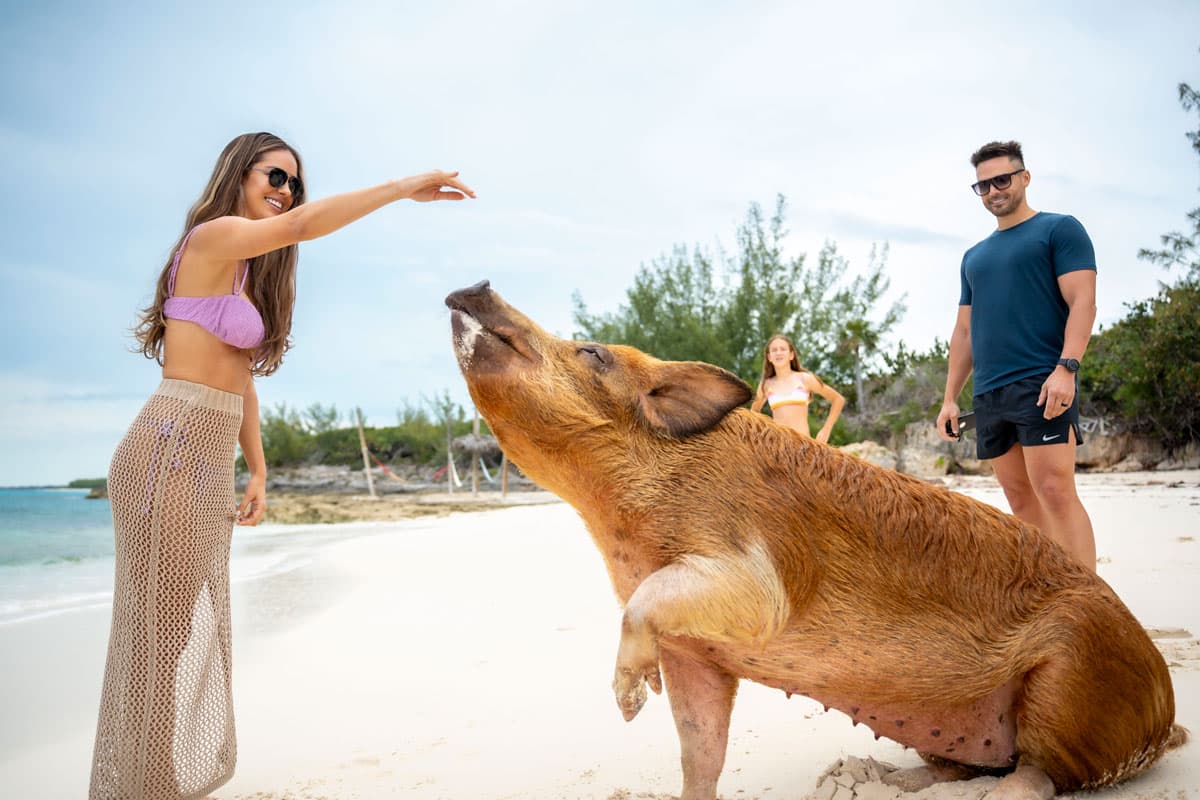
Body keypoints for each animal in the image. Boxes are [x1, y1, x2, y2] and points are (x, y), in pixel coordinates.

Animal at [445, 280, 1185, 800]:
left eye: (592, 351)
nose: (474, 284)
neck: (623, 514)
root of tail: (1165, 713)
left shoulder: (754, 569)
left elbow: (657, 601)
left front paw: (628, 701)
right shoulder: (697, 654)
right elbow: (698, 742)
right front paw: (652, 710)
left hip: (1074, 672)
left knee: (1041, 772)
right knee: (970, 766)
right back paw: (890, 779)